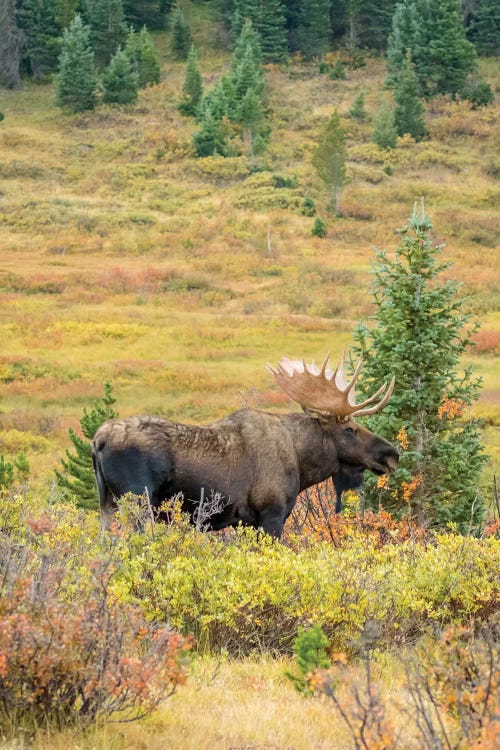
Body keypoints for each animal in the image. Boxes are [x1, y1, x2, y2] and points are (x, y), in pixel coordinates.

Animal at [93, 354, 398, 536]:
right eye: (349, 429)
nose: (391, 454)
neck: (302, 464)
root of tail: (98, 441)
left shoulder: (246, 522)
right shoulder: (271, 514)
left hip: (106, 504)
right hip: (138, 503)